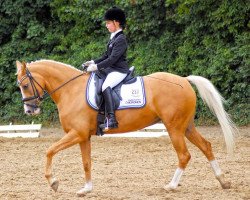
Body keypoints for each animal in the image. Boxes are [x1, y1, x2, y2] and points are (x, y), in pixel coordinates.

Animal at [16, 59, 236, 197]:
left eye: (25, 85)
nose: (29, 111)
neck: (71, 90)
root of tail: (184, 79)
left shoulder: (76, 134)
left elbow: (49, 150)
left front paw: (53, 182)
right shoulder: (83, 136)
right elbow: (86, 162)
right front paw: (86, 189)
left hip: (174, 128)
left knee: (184, 155)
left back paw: (171, 186)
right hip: (186, 127)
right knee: (206, 146)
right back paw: (223, 181)